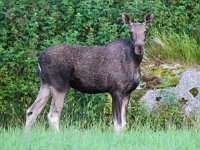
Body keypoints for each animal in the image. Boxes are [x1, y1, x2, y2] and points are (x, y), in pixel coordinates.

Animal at [25, 13, 153, 132]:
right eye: (130, 32)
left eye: (145, 31)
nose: (139, 47)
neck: (135, 63)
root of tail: (39, 59)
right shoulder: (116, 90)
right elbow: (118, 124)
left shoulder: (127, 92)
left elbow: (124, 124)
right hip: (59, 85)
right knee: (53, 115)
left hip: (46, 84)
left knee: (31, 111)